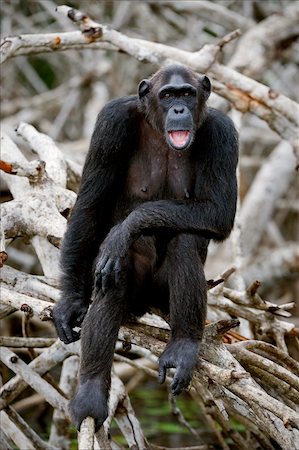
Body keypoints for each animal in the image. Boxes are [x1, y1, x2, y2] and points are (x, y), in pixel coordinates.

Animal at [52, 62, 239, 428]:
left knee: (184, 241)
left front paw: (126, 228)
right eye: (167, 95)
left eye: (186, 93)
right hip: (136, 300)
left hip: (161, 296)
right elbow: (90, 207)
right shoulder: (110, 123)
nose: (179, 109)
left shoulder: (224, 134)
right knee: (116, 271)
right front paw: (71, 302)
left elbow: (218, 210)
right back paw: (91, 393)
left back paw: (183, 346)